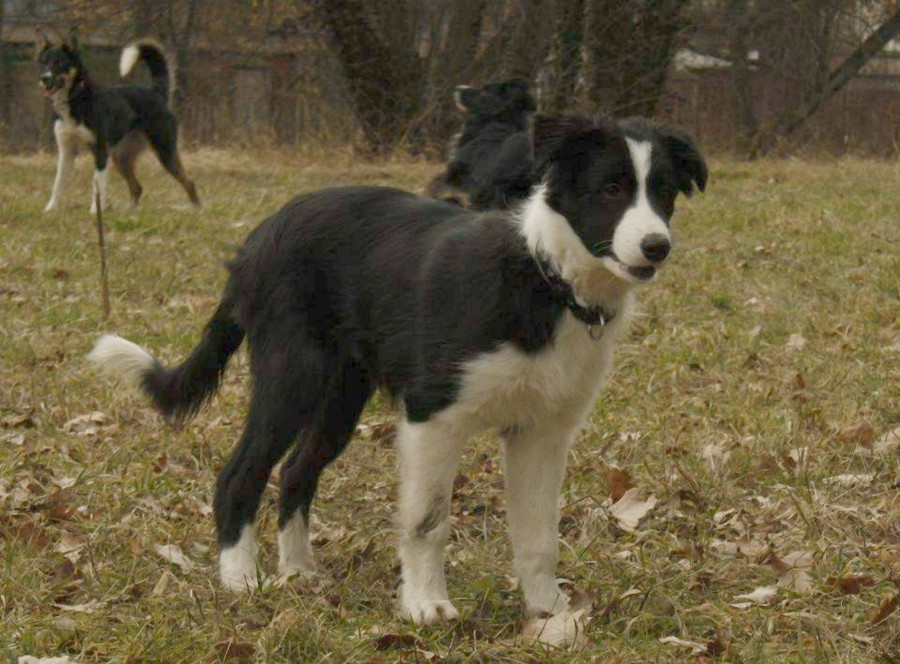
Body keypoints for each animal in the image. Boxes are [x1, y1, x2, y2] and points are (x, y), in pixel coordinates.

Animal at [37, 28, 199, 212]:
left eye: (59, 63)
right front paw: (50, 209)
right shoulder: (66, 152)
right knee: (137, 187)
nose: (44, 78)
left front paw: (95, 211)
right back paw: (131, 211)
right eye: (44, 63)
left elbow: (98, 186)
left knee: (189, 183)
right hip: (121, 157)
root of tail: (156, 92)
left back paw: (196, 210)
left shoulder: (100, 151)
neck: (76, 100)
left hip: (165, 152)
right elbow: (57, 184)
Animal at [88, 113, 707, 624]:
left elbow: (539, 536)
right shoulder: (433, 415)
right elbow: (427, 521)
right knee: (240, 472)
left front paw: (549, 613)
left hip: (341, 397)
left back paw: (299, 572)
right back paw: (241, 577)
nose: (657, 247)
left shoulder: (542, 431)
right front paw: (425, 604)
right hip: (292, 376)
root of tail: (260, 236)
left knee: (296, 472)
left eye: (665, 193)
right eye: (612, 189)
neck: (545, 275)